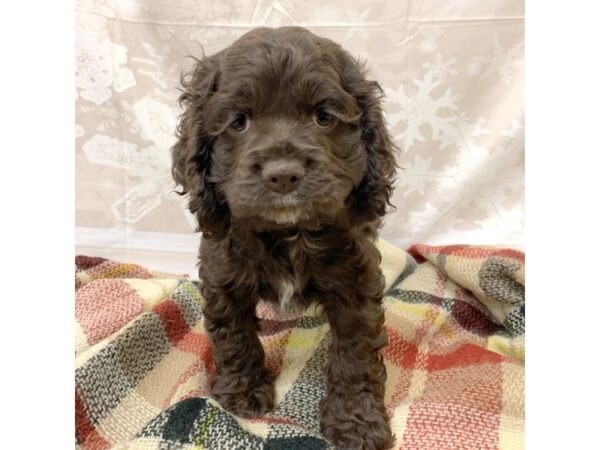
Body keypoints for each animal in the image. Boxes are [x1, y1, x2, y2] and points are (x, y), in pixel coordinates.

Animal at [171, 27, 396, 450]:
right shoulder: (222, 273)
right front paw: (242, 394)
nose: (283, 174)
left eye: (323, 117)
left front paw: (356, 422)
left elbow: (355, 352)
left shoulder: (356, 278)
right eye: (238, 122)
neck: (288, 231)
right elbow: (234, 335)